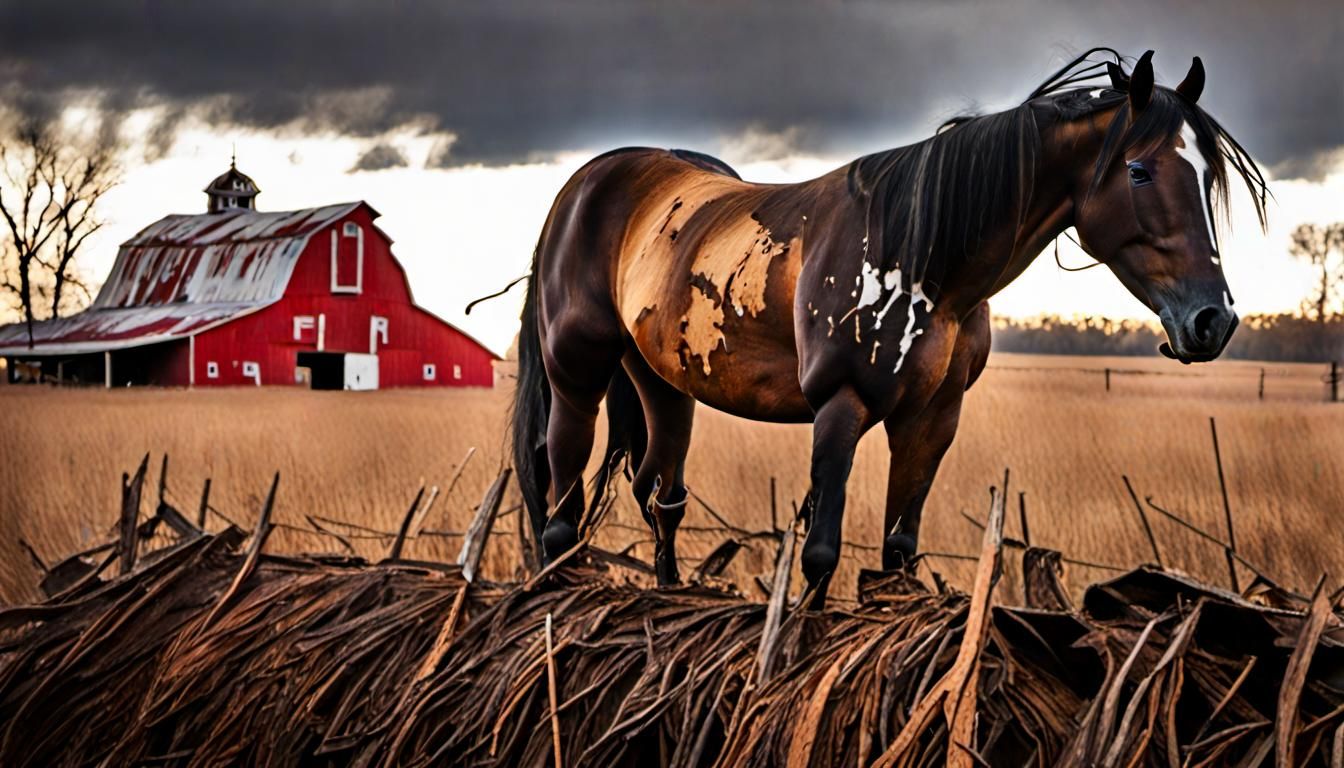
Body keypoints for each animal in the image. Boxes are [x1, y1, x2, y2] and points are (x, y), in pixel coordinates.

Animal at [511, 48, 1267, 607]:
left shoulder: (931, 419)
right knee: (560, 508)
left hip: (664, 384)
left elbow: (898, 552)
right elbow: (820, 551)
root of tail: (582, 186)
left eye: (1209, 179)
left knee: (660, 496)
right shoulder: (840, 405)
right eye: (1138, 171)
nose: (1213, 320)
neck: (921, 252)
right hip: (575, 375)